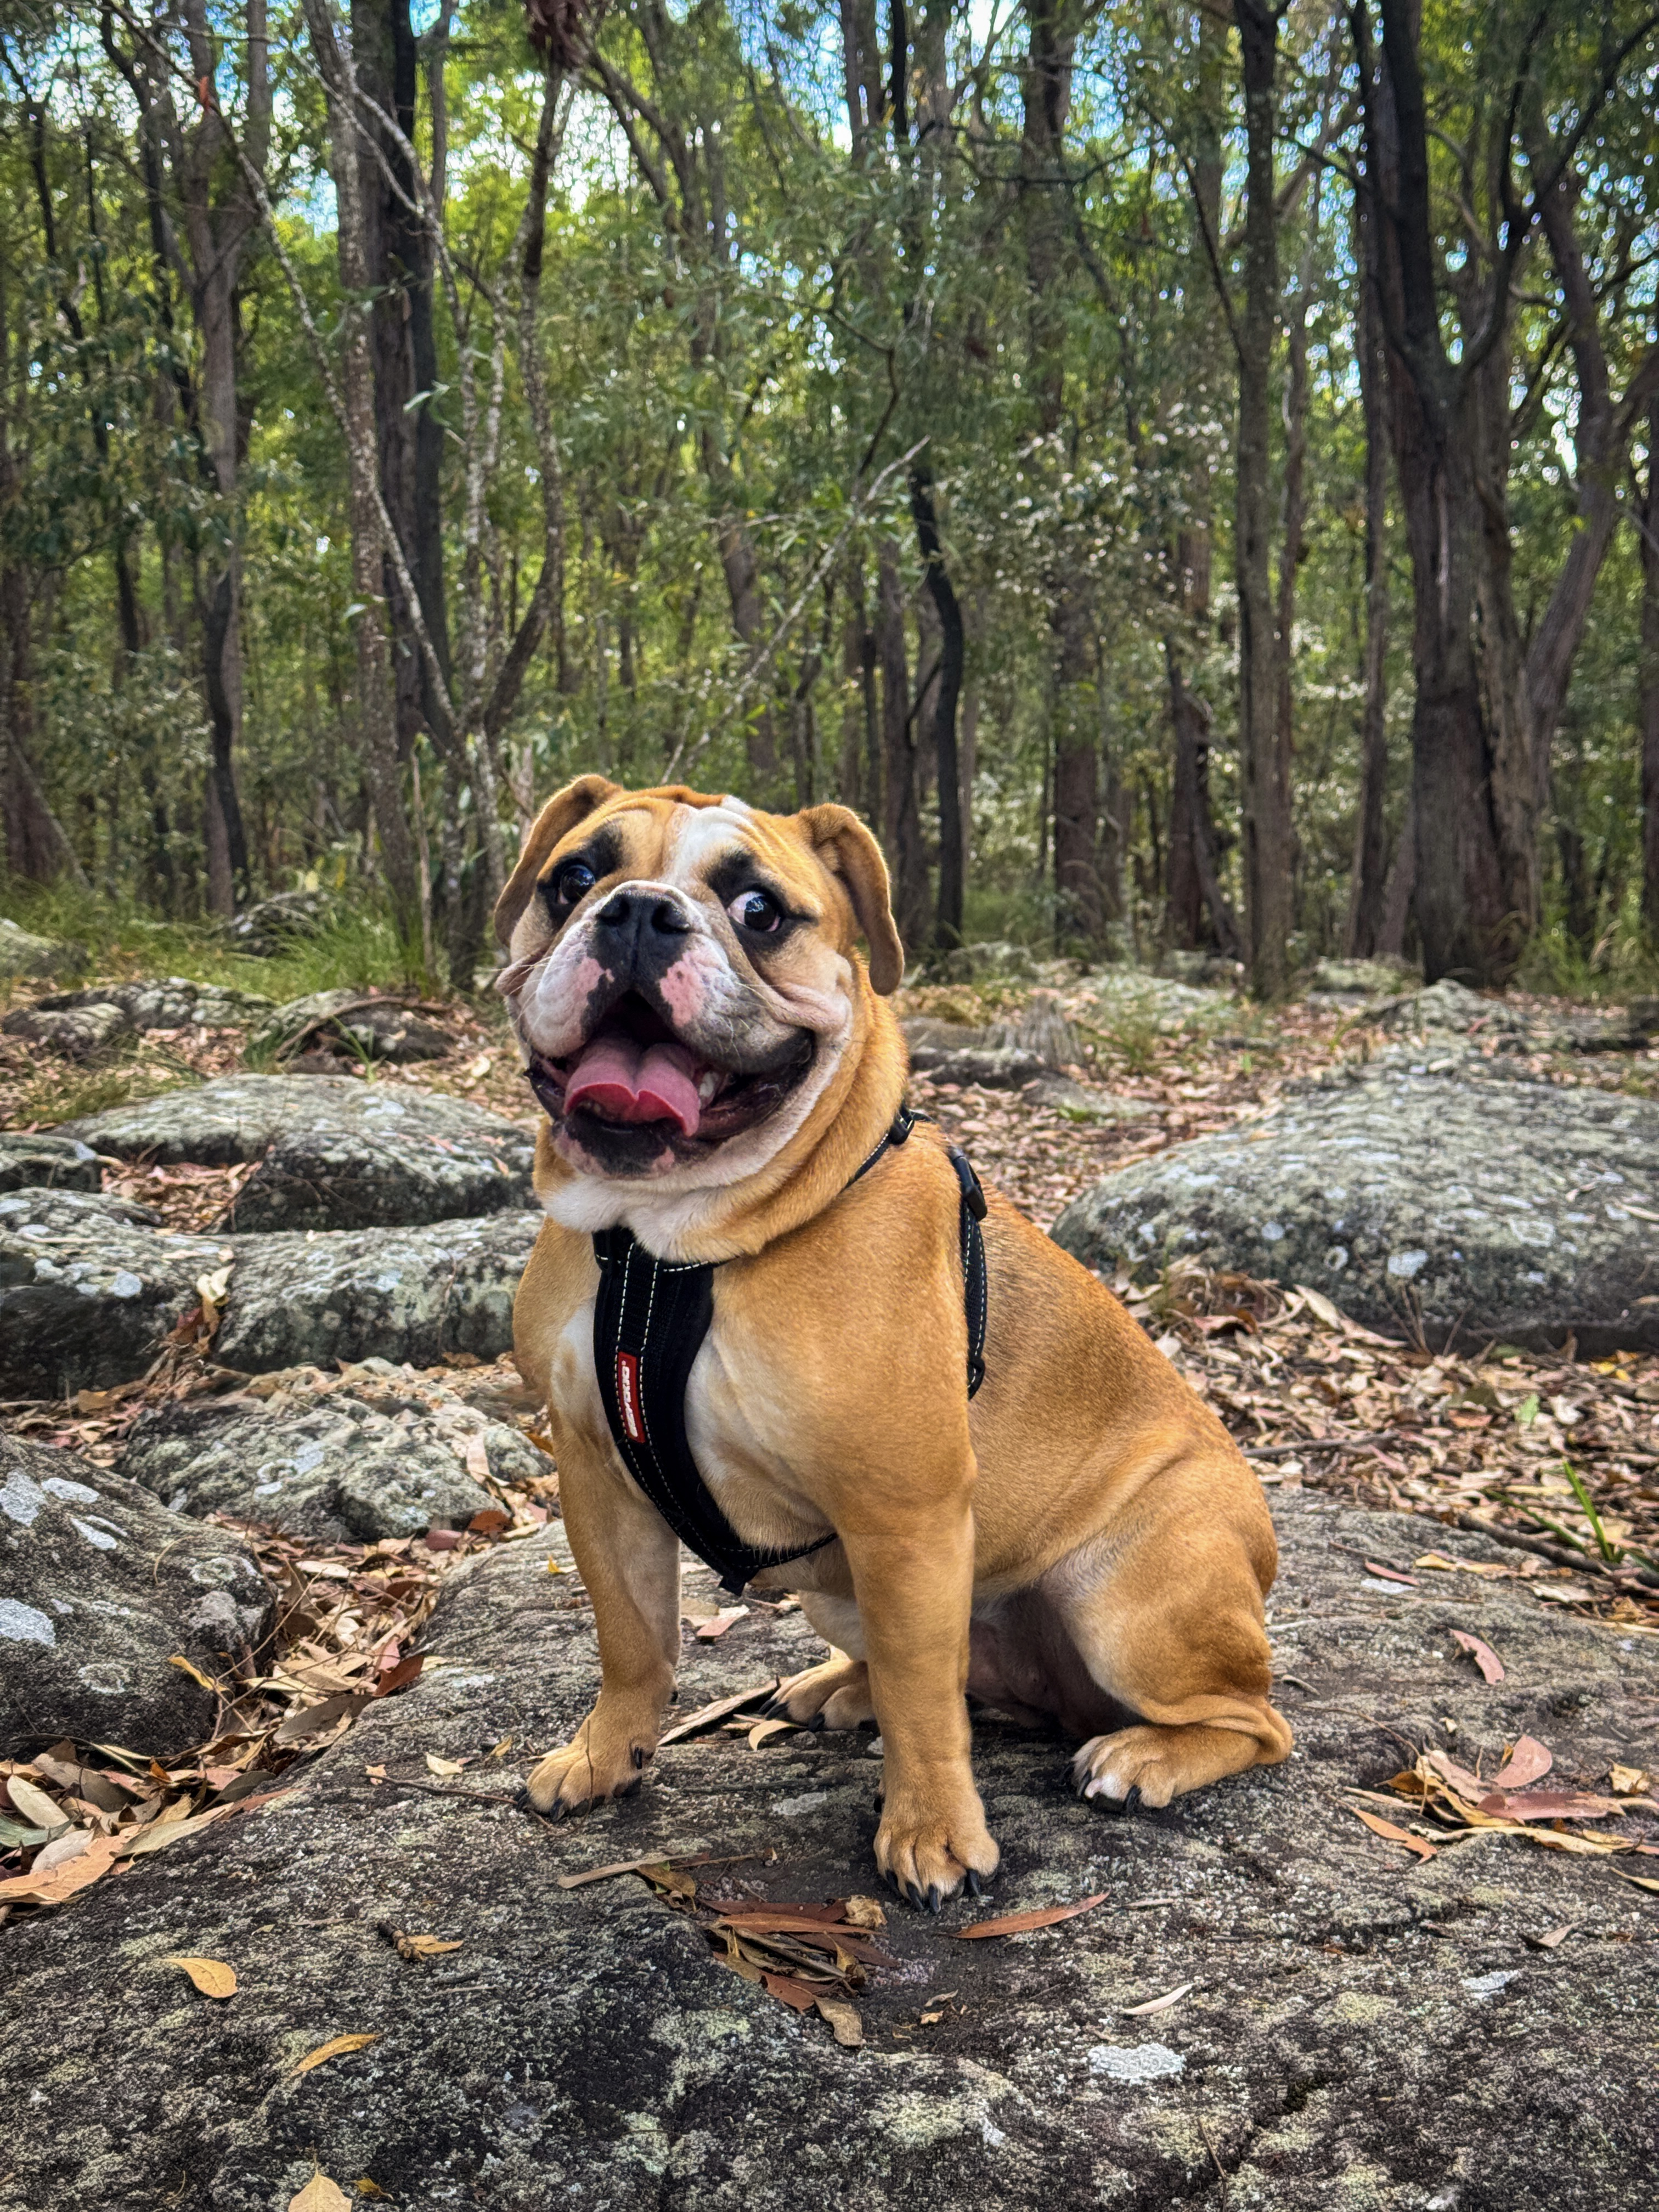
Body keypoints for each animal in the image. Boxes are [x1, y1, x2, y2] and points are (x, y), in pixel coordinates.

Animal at [498, 776, 1292, 1907]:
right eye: (571, 879)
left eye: (758, 911)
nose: (639, 911)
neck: (669, 1246)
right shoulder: (597, 1478)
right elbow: (631, 1638)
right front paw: (606, 1753)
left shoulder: (902, 1513)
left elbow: (926, 1705)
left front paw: (930, 1834)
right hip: (847, 1593)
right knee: (960, 1681)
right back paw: (844, 1686)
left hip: (1127, 1598)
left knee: (1250, 1720)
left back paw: (1142, 1755)